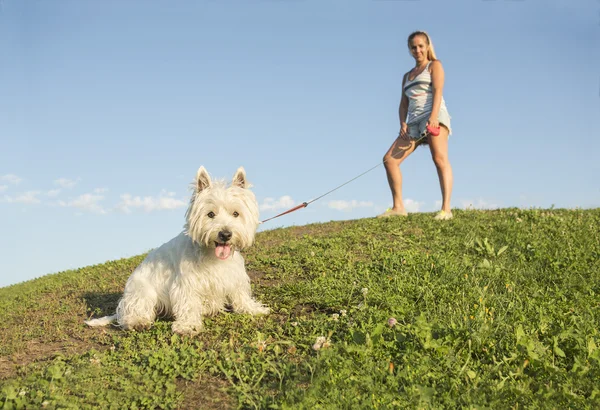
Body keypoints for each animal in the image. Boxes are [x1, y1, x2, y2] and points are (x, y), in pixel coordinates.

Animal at [84, 165, 270, 334]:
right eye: (210, 214)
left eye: (236, 214)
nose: (225, 234)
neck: (212, 255)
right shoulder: (185, 284)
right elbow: (188, 304)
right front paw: (188, 326)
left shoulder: (234, 277)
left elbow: (241, 295)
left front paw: (253, 308)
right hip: (142, 291)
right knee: (132, 313)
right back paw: (137, 322)